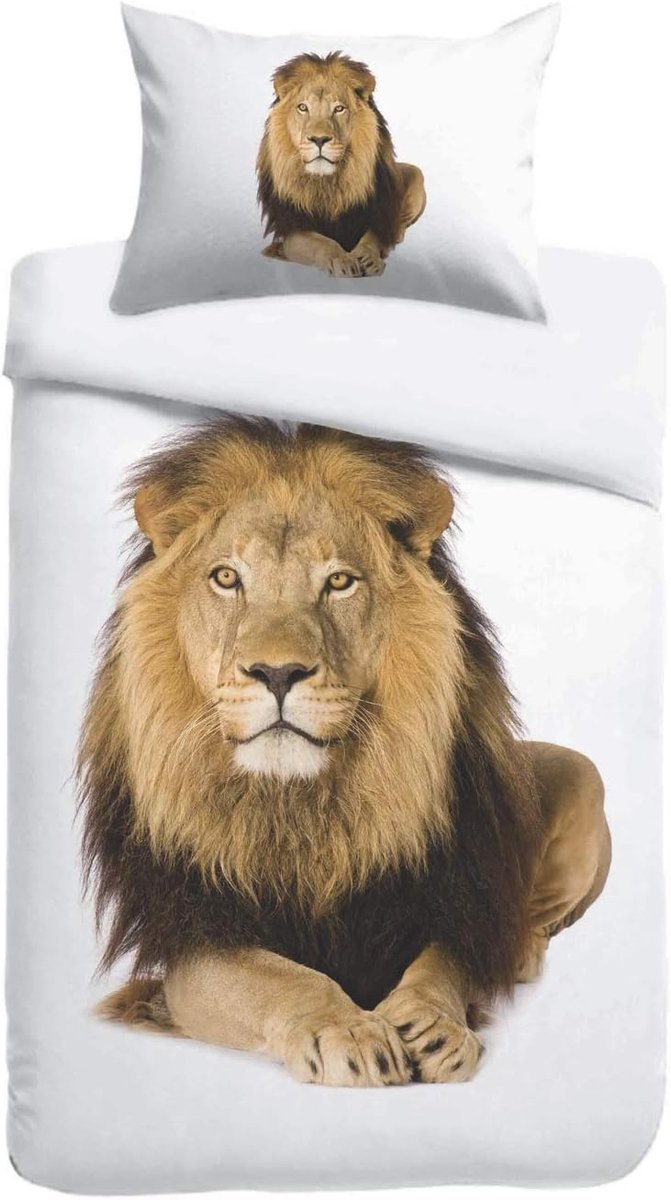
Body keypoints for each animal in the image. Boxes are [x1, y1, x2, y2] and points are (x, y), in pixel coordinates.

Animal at [79, 418, 610, 1087]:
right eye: (227, 578)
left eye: (339, 581)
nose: (278, 673)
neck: (305, 806)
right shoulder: (195, 942)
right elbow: (281, 979)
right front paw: (349, 1031)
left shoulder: (451, 903)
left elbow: (442, 966)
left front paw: (432, 1024)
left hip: (582, 773)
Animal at [256, 52, 426, 278]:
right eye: (303, 107)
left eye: (339, 109)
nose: (319, 139)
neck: (328, 183)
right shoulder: (293, 228)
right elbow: (323, 243)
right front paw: (343, 260)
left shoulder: (376, 216)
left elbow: (371, 239)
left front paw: (368, 258)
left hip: (416, 175)